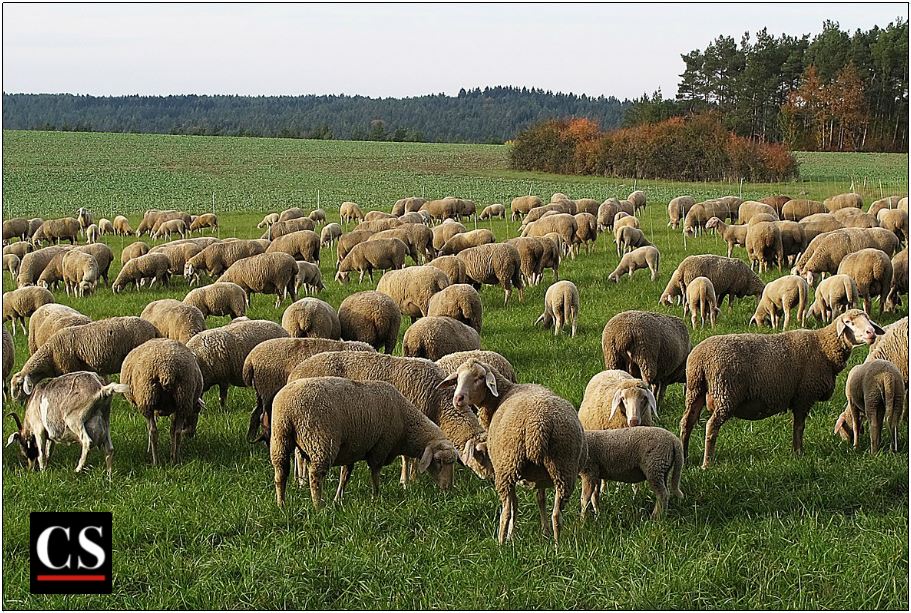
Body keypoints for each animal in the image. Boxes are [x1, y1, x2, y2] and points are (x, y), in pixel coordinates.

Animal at [243, 338, 376, 440]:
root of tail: (250, 360)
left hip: (261, 391)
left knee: (256, 414)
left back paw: (250, 438)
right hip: (267, 390)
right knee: (265, 419)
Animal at [270, 377, 458, 508]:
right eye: (438, 461)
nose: (448, 489)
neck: (406, 424)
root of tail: (288, 408)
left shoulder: (352, 449)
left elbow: (345, 475)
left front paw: (338, 499)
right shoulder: (380, 447)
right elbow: (375, 473)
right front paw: (376, 497)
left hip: (279, 438)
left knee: (281, 474)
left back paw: (281, 504)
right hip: (319, 440)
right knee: (315, 476)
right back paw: (318, 506)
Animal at [439, 359, 585, 545]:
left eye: (480, 377)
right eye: (457, 377)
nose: (458, 399)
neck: (502, 395)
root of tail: (538, 426)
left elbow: (515, 505)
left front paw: (511, 536)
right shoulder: (540, 477)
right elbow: (541, 500)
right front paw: (545, 532)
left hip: (507, 467)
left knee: (507, 509)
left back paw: (501, 542)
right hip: (563, 467)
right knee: (557, 514)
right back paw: (557, 544)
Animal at [680, 309, 884, 468]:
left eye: (868, 320)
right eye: (849, 322)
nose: (871, 333)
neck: (823, 346)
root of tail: (700, 358)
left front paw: (795, 451)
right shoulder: (804, 395)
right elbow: (799, 427)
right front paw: (799, 452)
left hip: (695, 390)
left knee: (686, 423)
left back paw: (685, 456)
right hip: (725, 393)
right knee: (711, 426)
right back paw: (707, 463)